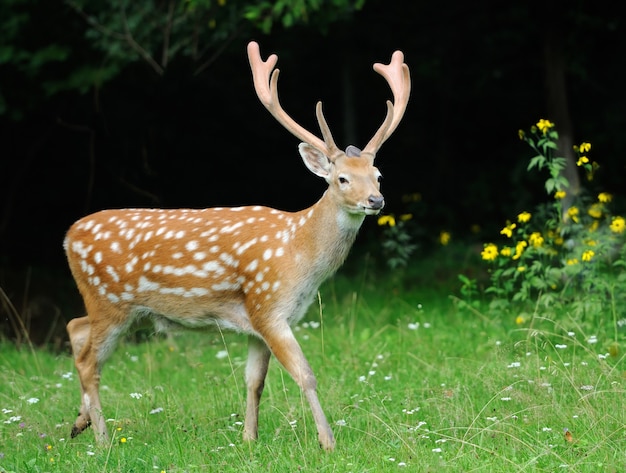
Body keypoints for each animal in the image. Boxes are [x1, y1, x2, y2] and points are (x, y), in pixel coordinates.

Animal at [63, 40, 410, 450]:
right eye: (342, 178)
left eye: (378, 175)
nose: (376, 200)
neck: (300, 253)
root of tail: (68, 236)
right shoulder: (268, 306)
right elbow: (306, 374)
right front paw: (328, 442)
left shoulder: (259, 320)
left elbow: (254, 381)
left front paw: (248, 438)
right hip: (108, 300)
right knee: (89, 359)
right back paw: (102, 438)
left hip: (118, 308)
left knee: (75, 328)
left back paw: (80, 423)